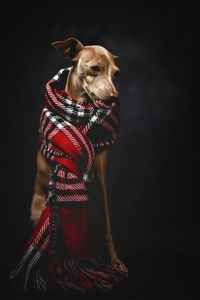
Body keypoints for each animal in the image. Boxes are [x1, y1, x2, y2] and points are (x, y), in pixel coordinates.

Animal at [30, 37, 128, 274]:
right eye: (95, 68)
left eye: (116, 73)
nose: (114, 97)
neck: (78, 118)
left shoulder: (101, 181)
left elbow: (108, 225)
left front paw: (114, 259)